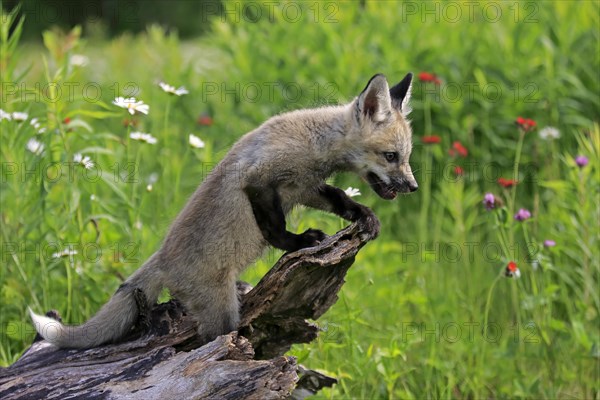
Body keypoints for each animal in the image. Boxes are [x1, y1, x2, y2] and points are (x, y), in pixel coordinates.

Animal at [30, 73, 420, 348]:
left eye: (407, 157)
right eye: (391, 156)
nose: (413, 187)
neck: (314, 141)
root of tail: (162, 258)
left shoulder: (304, 187)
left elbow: (341, 199)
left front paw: (365, 218)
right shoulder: (259, 180)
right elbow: (275, 230)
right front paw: (299, 242)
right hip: (222, 313)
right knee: (210, 341)